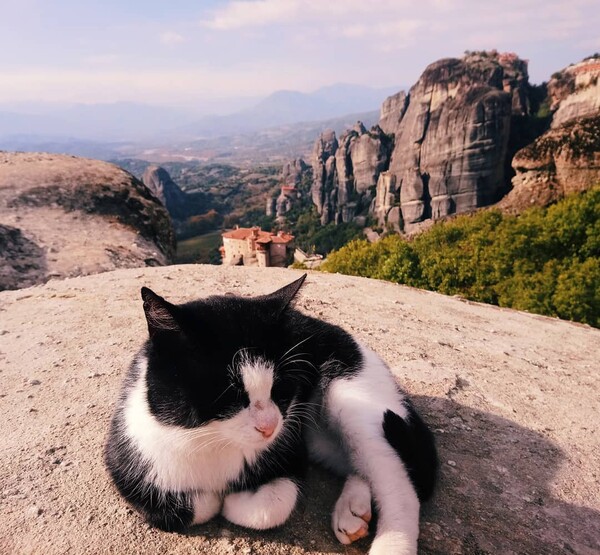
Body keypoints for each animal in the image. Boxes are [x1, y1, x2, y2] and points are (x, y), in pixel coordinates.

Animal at [104, 276, 436, 552]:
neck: (213, 441)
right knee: (357, 462)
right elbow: (187, 509)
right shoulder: (128, 462)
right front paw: (213, 498)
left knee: (399, 486)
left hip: (349, 399)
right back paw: (352, 509)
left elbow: (272, 506)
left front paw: (232, 501)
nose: (269, 426)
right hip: (317, 437)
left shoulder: (292, 451)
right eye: (230, 394)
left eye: (281, 386)